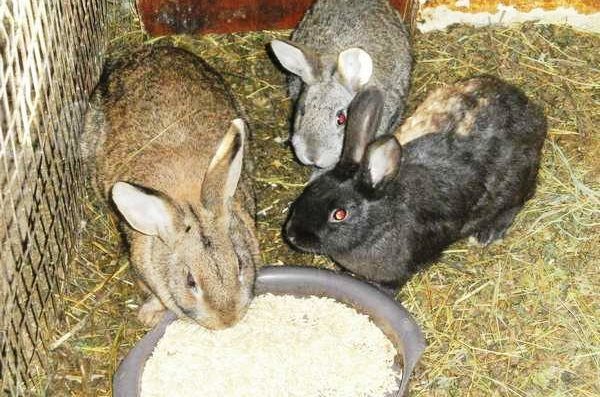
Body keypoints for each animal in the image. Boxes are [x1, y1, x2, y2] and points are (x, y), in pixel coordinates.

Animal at [80, 45, 260, 328]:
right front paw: (149, 316)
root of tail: (154, 48)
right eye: (190, 282)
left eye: (240, 264)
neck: (189, 200)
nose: (227, 320)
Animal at [284, 76, 548, 288]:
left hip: (515, 185)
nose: (292, 235)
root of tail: (531, 113)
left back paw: (487, 233)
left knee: (519, 201)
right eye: (312, 188)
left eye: (339, 214)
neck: (381, 221)